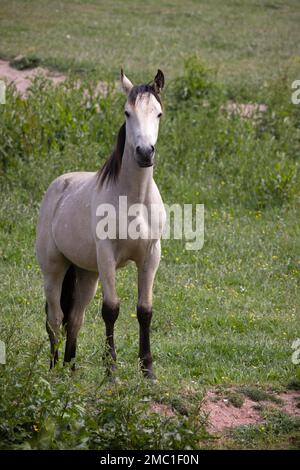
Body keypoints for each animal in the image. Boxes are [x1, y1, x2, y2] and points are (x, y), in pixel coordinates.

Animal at [36, 69, 166, 378]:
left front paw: (148, 370)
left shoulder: (151, 256)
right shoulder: (107, 256)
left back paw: (70, 370)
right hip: (54, 269)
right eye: (127, 113)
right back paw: (53, 370)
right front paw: (111, 373)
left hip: (86, 273)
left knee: (75, 318)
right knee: (55, 318)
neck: (134, 199)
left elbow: (145, 310)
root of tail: (58, 186)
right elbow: (111, 309)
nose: (145, 152)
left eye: (158, 113)